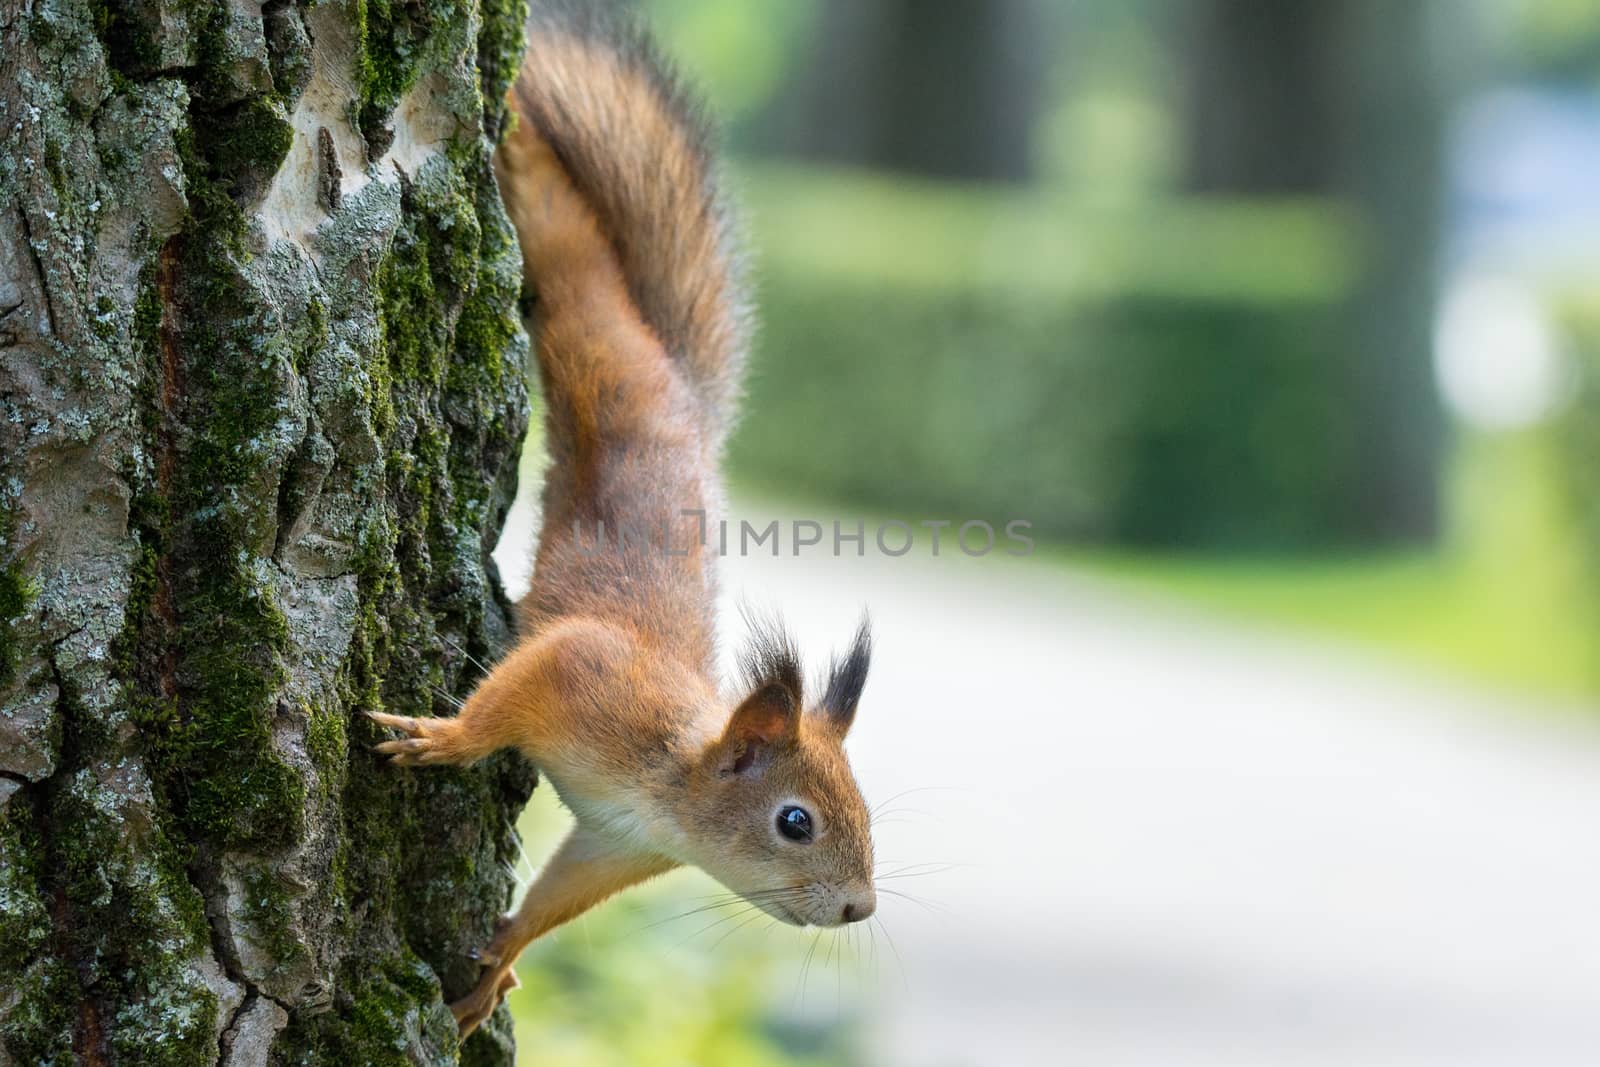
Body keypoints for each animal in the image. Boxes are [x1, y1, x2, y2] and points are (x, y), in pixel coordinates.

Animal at [366, 0, 876, 1036]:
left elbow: (553, 897)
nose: (861, 906)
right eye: (795, 820)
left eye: (869, 812)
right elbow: (519, 688)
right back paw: (521, 147)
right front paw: (446, 741)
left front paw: (498, 963)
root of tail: (682, 392)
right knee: (573, 256)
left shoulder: (611, 846)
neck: (669, 784)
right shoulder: (586, 677)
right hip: (590, 334)